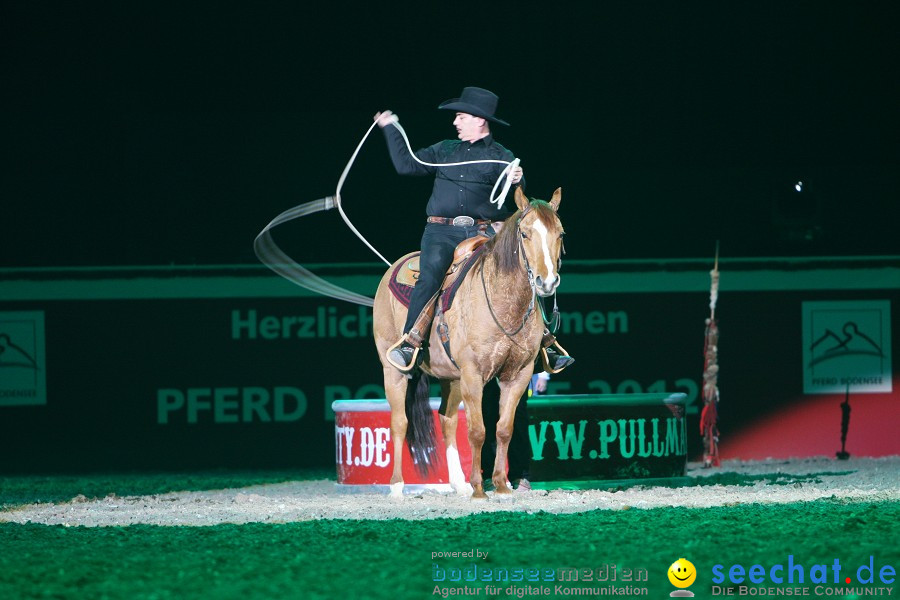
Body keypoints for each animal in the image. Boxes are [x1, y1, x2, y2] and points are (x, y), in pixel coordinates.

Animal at [372, 186, 564, 496]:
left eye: (560, 234)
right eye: (525, 233)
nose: (546, 282)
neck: (502, 301)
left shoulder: (517, 376)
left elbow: (503, 429)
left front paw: (500, 485)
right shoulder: (474, 375)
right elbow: (477, 431)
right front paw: (478, 489)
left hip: (451, 378)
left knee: (447, 420)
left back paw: (457, 483)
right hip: (394, 371)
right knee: (399, 422)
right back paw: (398, 487)